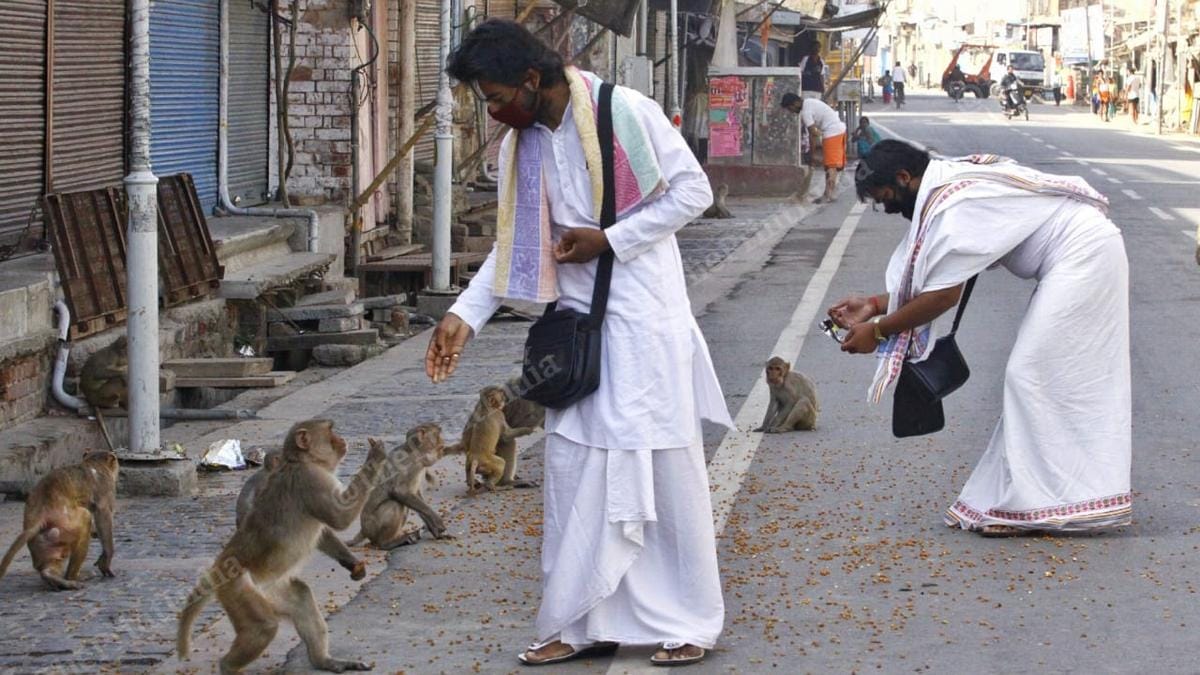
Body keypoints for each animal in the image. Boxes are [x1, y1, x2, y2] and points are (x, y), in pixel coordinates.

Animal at [0, 451, 119, 591]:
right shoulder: (107, 488)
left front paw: (95, 533)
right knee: (85, 517)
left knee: (51, 562)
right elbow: (103, 515)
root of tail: (40, 517)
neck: (94, 463)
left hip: (44, 540)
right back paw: (73, 577)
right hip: (66, 526)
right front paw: (106, 559)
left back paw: (52, 577)